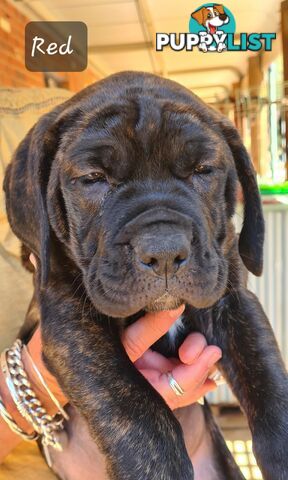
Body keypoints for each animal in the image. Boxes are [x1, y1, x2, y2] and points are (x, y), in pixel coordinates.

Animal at [3, 72, 288, 480]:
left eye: (203, 171)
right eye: (93, 178)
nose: (165, 251)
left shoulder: (233, 301)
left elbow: (267, 379)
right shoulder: (69, 317)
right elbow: (134, 406)